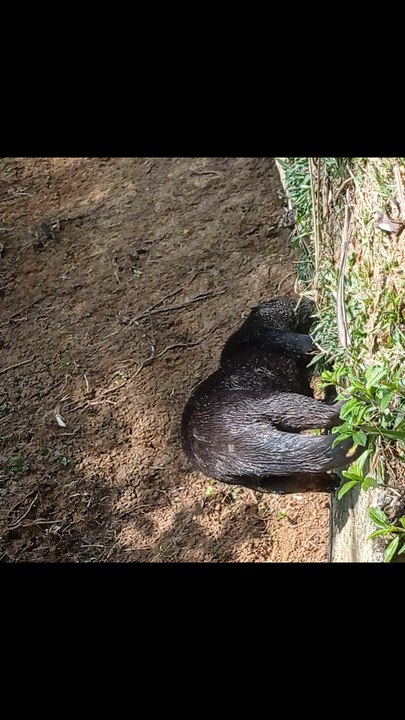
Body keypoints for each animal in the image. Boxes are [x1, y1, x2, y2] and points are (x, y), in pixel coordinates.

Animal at [181, 296, 357, 495]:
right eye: (292, 300)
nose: (308, 300)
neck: (256, 325)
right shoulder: (274, 336)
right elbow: (308, 344)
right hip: (268, 403)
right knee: (324, 415)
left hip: (267, 482)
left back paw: (332, 482)